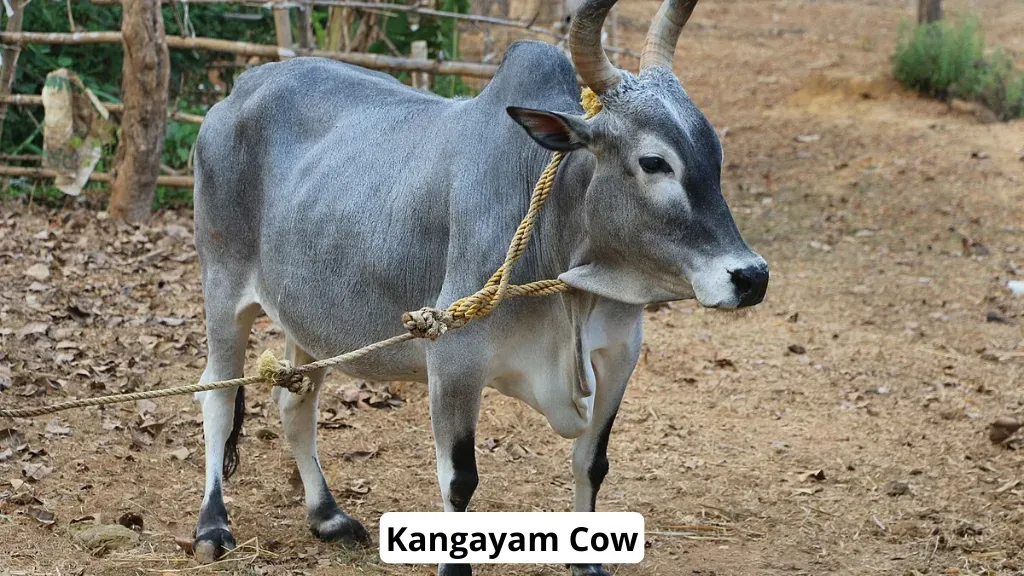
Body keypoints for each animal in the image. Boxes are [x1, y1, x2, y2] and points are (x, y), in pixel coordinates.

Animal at [190, 0, 768, 574]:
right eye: (653, 161)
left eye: (713, 152)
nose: (752, 277)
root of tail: (243, 86)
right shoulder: (453, 360)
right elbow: (460, 482)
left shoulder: (619, 355)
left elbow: (592, 462)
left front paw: (587, 563)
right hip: (222, 288)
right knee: (216, 396)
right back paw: (213, 526)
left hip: (308, 318)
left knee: (296, 404)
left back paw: (327, 515)